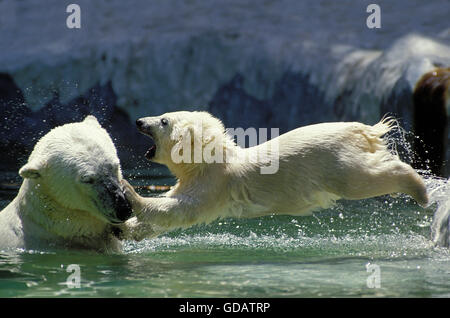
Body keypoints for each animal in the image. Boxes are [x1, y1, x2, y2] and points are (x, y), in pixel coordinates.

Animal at [122, 111, 428, 238]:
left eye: (163, 120)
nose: (138, 121)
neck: (211, 160)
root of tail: (362, 130)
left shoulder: (214, 184)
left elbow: (180, 209)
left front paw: (128, 189)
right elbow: (167, 216)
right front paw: (126, 230)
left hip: (335, 161)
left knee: (361, 178)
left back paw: (420, 190)